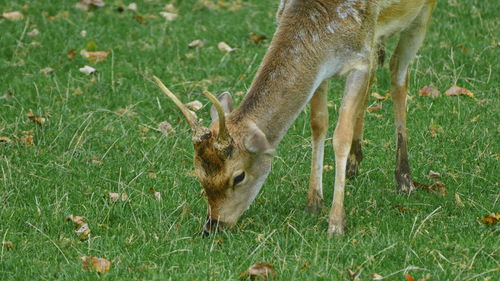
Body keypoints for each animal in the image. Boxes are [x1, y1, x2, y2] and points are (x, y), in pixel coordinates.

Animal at [152, 0, 434, 236]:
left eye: (238, 176)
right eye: (199, 174)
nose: (213, 226)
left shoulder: (358, 60)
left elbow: (340, 136)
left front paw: (336, 224)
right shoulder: (321, 69)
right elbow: (318, 125)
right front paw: (313, 202)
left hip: (421, 14)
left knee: (398, 73)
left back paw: (404, 179)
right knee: (380, 66)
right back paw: (355, 163)